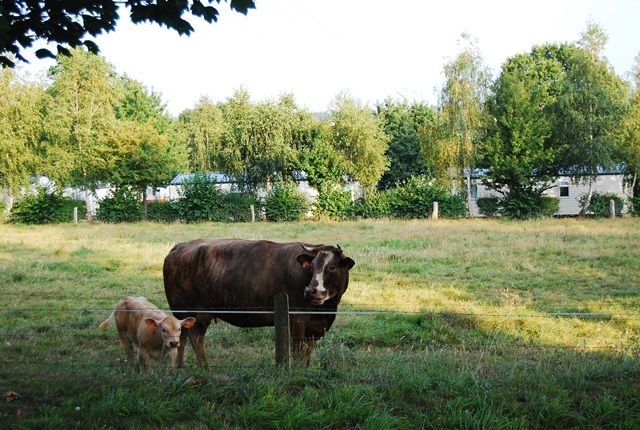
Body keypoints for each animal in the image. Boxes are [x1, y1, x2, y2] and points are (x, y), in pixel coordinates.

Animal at [161, 239, 356, 366]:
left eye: (332, 267)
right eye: (312, 266)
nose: (310, 291)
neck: (324, 312)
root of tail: (182, 246)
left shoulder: (313, 328)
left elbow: (306, 355)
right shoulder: (296, 320)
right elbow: (297, 353)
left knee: (190, 339)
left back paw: (191, 368)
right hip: (188, 312)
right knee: (189, 339)